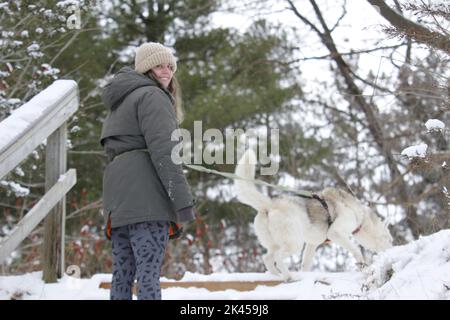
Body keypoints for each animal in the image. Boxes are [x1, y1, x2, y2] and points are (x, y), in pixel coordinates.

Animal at [234, 150, 392, 280]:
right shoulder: (335, 233)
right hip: (294, 243)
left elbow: (306, 264)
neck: (360, 215)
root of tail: (270, 204)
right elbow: (356, 249)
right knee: (278, 258)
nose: (392, 250)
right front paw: (362, 265)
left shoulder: (312, 244)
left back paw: (278, 276)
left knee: (267, 258)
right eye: (389, 240)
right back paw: (290, 277)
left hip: (276, 245)